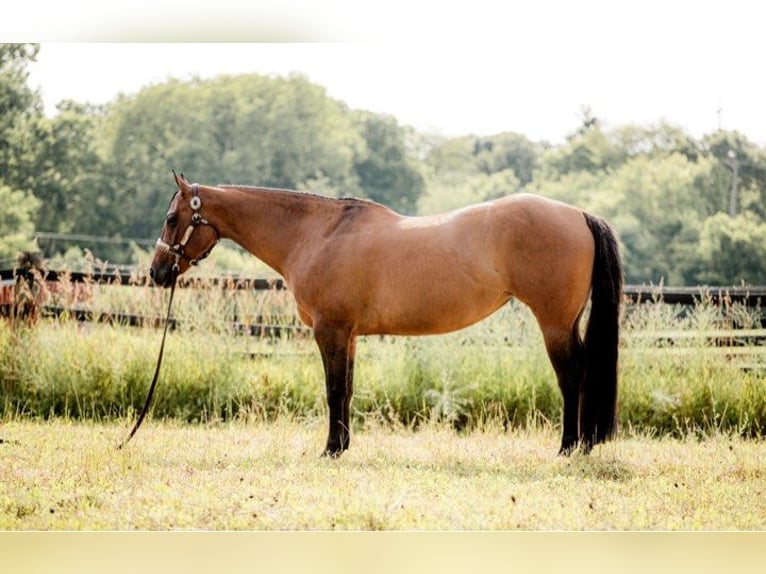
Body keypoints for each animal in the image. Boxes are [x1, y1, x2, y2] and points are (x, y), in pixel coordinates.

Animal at [150, 172, 623, 457]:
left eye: (172, 217)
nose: (156, 272)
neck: (317, 234)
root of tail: (578, 215)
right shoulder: (349, 335)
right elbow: (347, 389)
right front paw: (342, 446)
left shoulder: (330, 330)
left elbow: (333, 391)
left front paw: (330, 450)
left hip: (554, 323)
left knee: (572, 376)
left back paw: (570, 446)